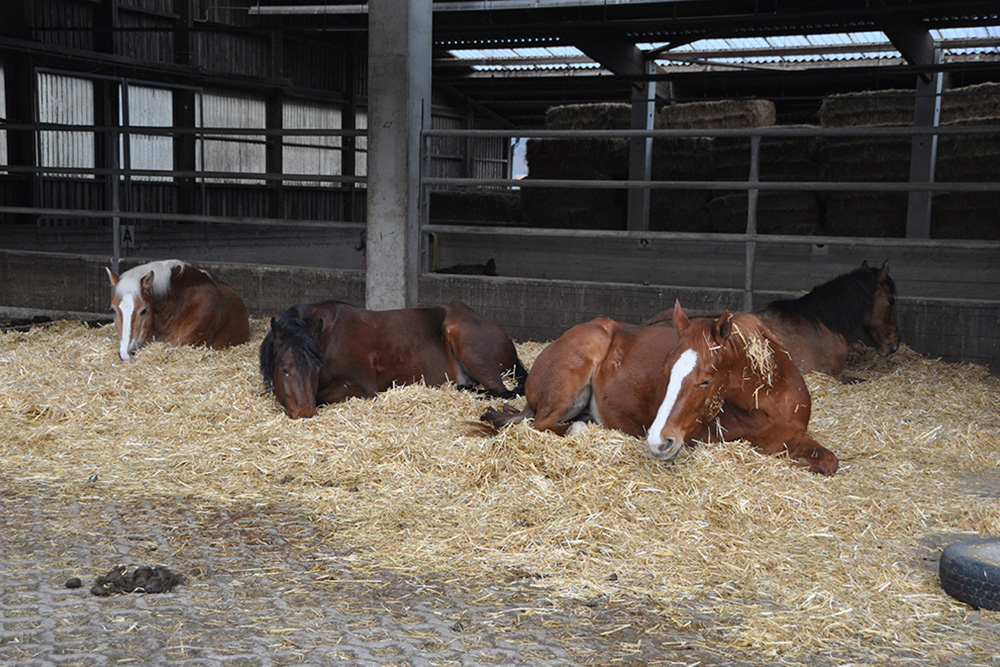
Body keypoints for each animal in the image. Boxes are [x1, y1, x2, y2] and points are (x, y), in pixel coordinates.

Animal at [260, 302, 532, 418]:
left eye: (316, 370)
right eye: (285, 370)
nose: (305, 414)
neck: (327, 337)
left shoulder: (360, 386)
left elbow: (321, 396)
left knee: (501, 391)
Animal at [482, 300, 836, 478]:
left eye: (705, 379)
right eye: (666, 372)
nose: (656, 440)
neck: (771, 403)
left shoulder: (800, 437)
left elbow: (829, 461)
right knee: (542, 424)